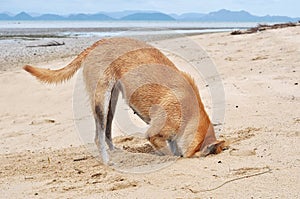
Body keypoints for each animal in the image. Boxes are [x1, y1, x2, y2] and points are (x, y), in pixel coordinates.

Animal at [23, 37, 224, 163]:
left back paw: (116, 153)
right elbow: (172, 154)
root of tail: (99, 42)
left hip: (111, 104)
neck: (190, 114)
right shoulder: (155, 135)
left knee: (107, 133)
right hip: (101, 101)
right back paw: (107, 161)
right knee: (98, 137)